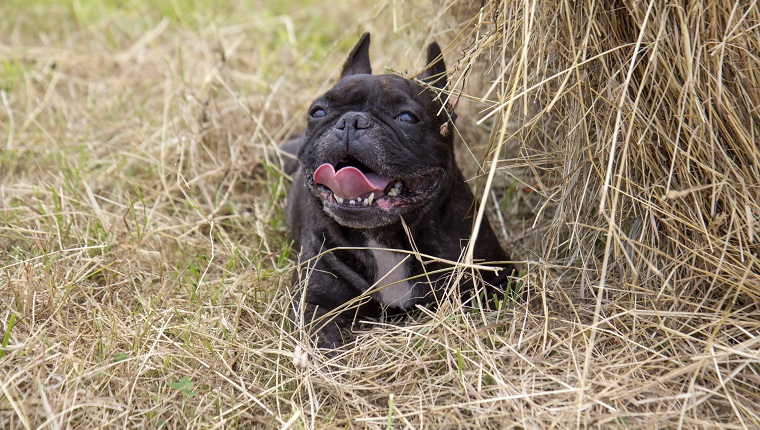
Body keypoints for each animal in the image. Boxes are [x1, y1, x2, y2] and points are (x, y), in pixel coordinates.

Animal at [284, 33, 516, 350]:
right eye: (317, 112)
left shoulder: (498, 278)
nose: (350, 121)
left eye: (407, 118)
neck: (385, 238)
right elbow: (321, 339)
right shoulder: (314, 303)